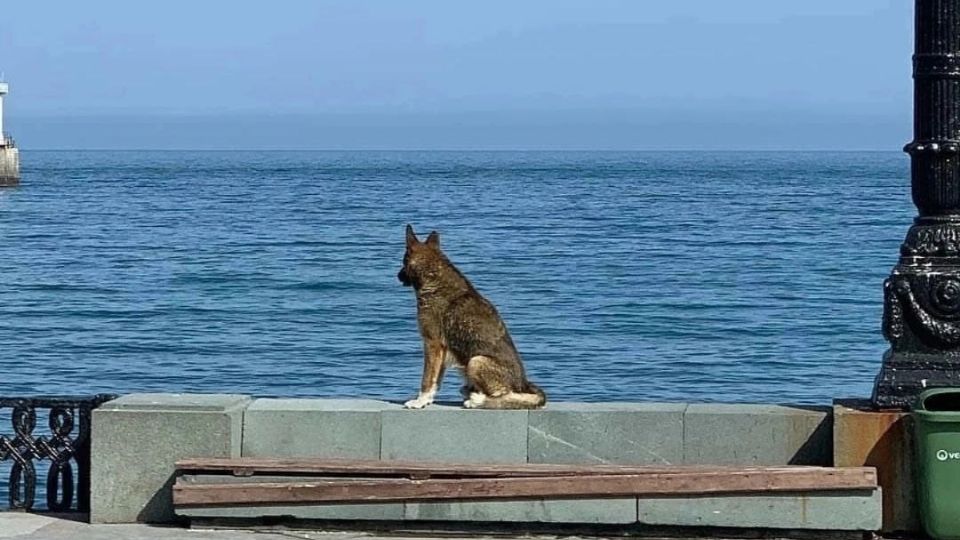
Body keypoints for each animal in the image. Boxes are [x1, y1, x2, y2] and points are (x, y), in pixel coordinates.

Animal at [398, 225, 548, 410]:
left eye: (403, 262)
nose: (397, 276)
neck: (433, 276)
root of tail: (524, 384)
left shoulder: (432, 343)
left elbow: (427, 379)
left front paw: (420, 401)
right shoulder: (442, 350)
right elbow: (436, 380)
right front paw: (428, 400)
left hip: (476, 361)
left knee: (504, 396)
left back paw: (476, 399)